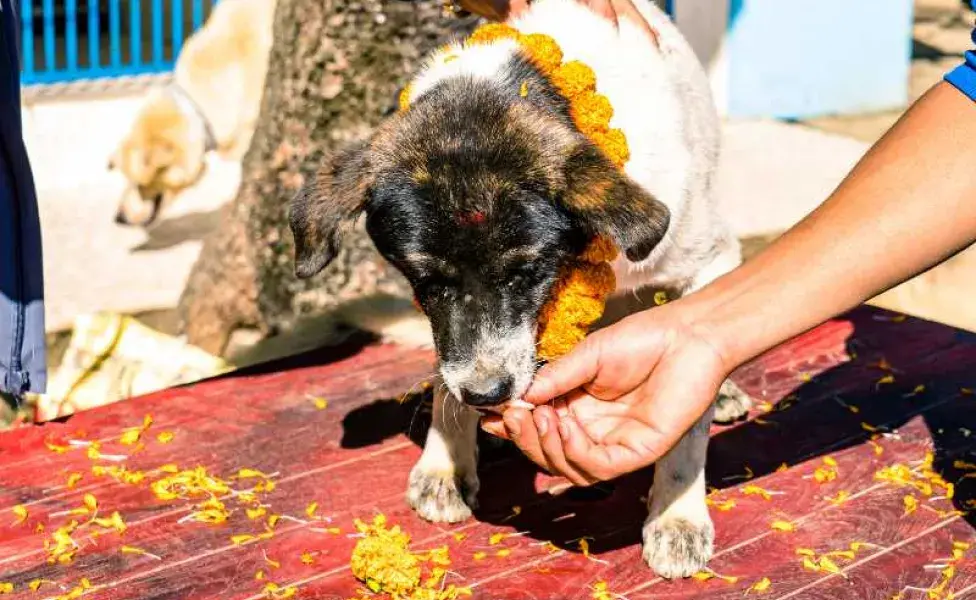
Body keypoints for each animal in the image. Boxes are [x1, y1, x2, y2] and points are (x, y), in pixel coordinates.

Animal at [286, 0, 752, 580]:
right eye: (427, 281)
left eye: (525, 274)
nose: (487, 395)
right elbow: (445, 372)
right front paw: (446, 459)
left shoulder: (709, 258)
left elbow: (689, 406)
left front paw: (677, 514)